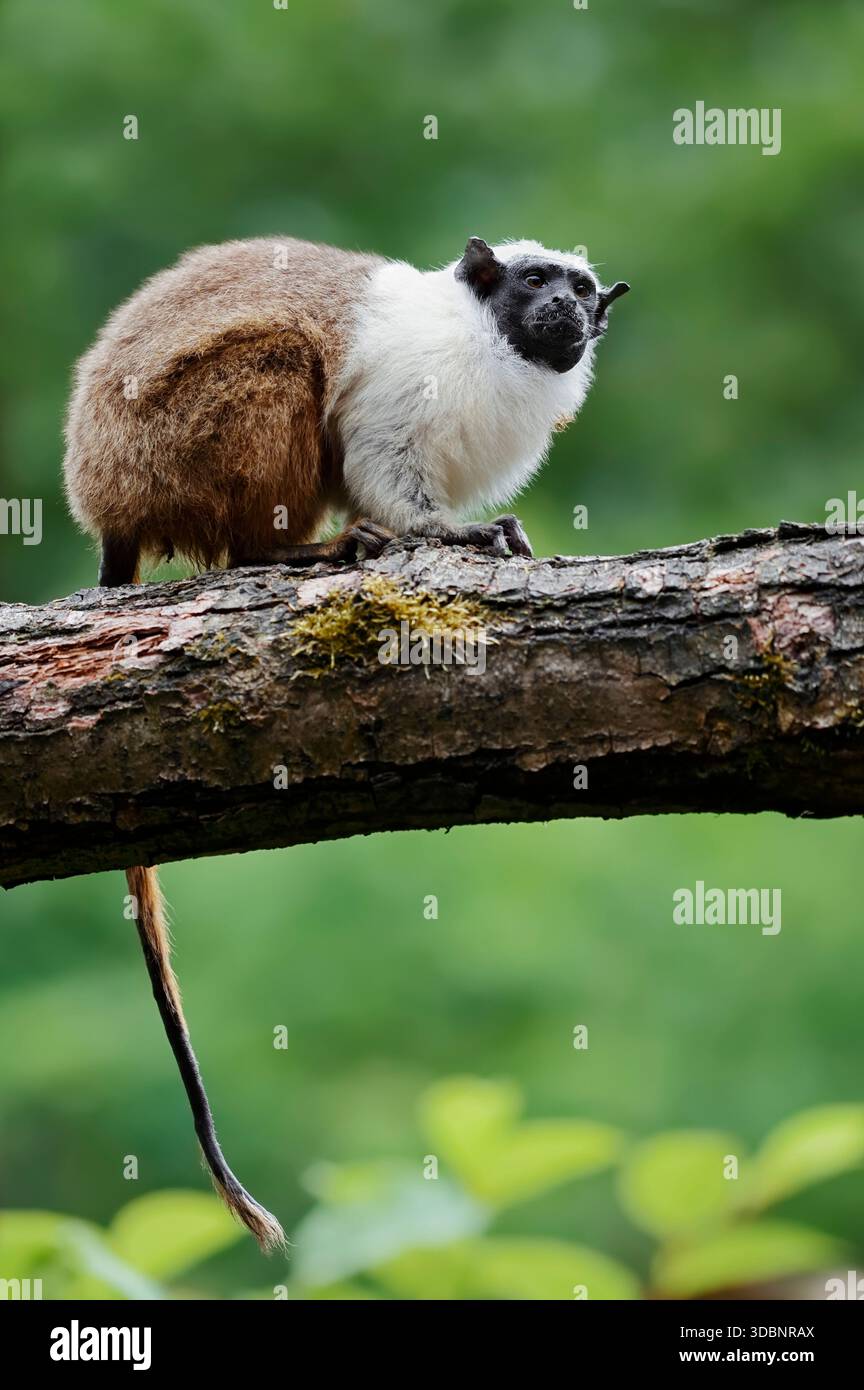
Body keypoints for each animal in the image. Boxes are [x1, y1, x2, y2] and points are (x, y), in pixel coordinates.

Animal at [62, 233, 629, 1250]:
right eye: (534, 283)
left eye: (581, 289)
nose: (564, 310)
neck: (494, 349)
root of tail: (107, 504)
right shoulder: (410, 390)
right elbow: (378, 465)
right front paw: (450, 536)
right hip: (165, 449)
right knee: (282, 376)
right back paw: (295, 551)